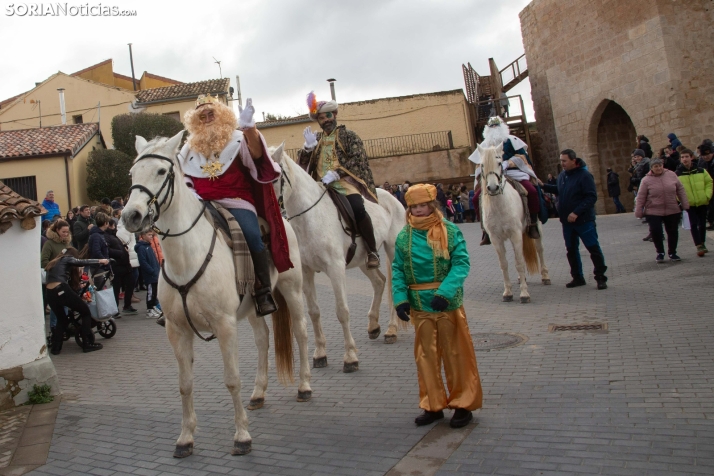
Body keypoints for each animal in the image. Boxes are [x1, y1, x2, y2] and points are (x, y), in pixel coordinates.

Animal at [122, 132, 312, 460]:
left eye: (161, 171)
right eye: (133, 173)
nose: (130, 216)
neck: (186, 256)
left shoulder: (225, 325)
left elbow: (232, 379)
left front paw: (242, 436)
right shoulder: (177, 331)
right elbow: (185, 384)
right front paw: (185, 438)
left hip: (292, 289)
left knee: (300, 331)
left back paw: (304, 387)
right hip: (252, 308)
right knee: (262, 339)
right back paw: (258, 393)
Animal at [270, 148, 404, 372]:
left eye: (275, 176)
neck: (310, 217)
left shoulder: (335, 269)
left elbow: (342, 311)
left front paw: (350, 357)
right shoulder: (306, 272)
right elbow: (314, 312)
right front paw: (320, 354)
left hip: (393, 250)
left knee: (393, 285)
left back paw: (391, 330)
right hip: (364, 260)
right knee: (379, 281)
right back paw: (373, 326)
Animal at [478, 143, 552, 304]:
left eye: (500, 163)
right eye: (482, 165)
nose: (492, 188)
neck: (499, 205)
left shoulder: (515, 234)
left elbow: (519, 262)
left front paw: (524, 294)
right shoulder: (496, 238)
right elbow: (504, 264)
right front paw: (508, 292)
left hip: (536, 228)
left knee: (540, 249)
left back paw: (545, 276)